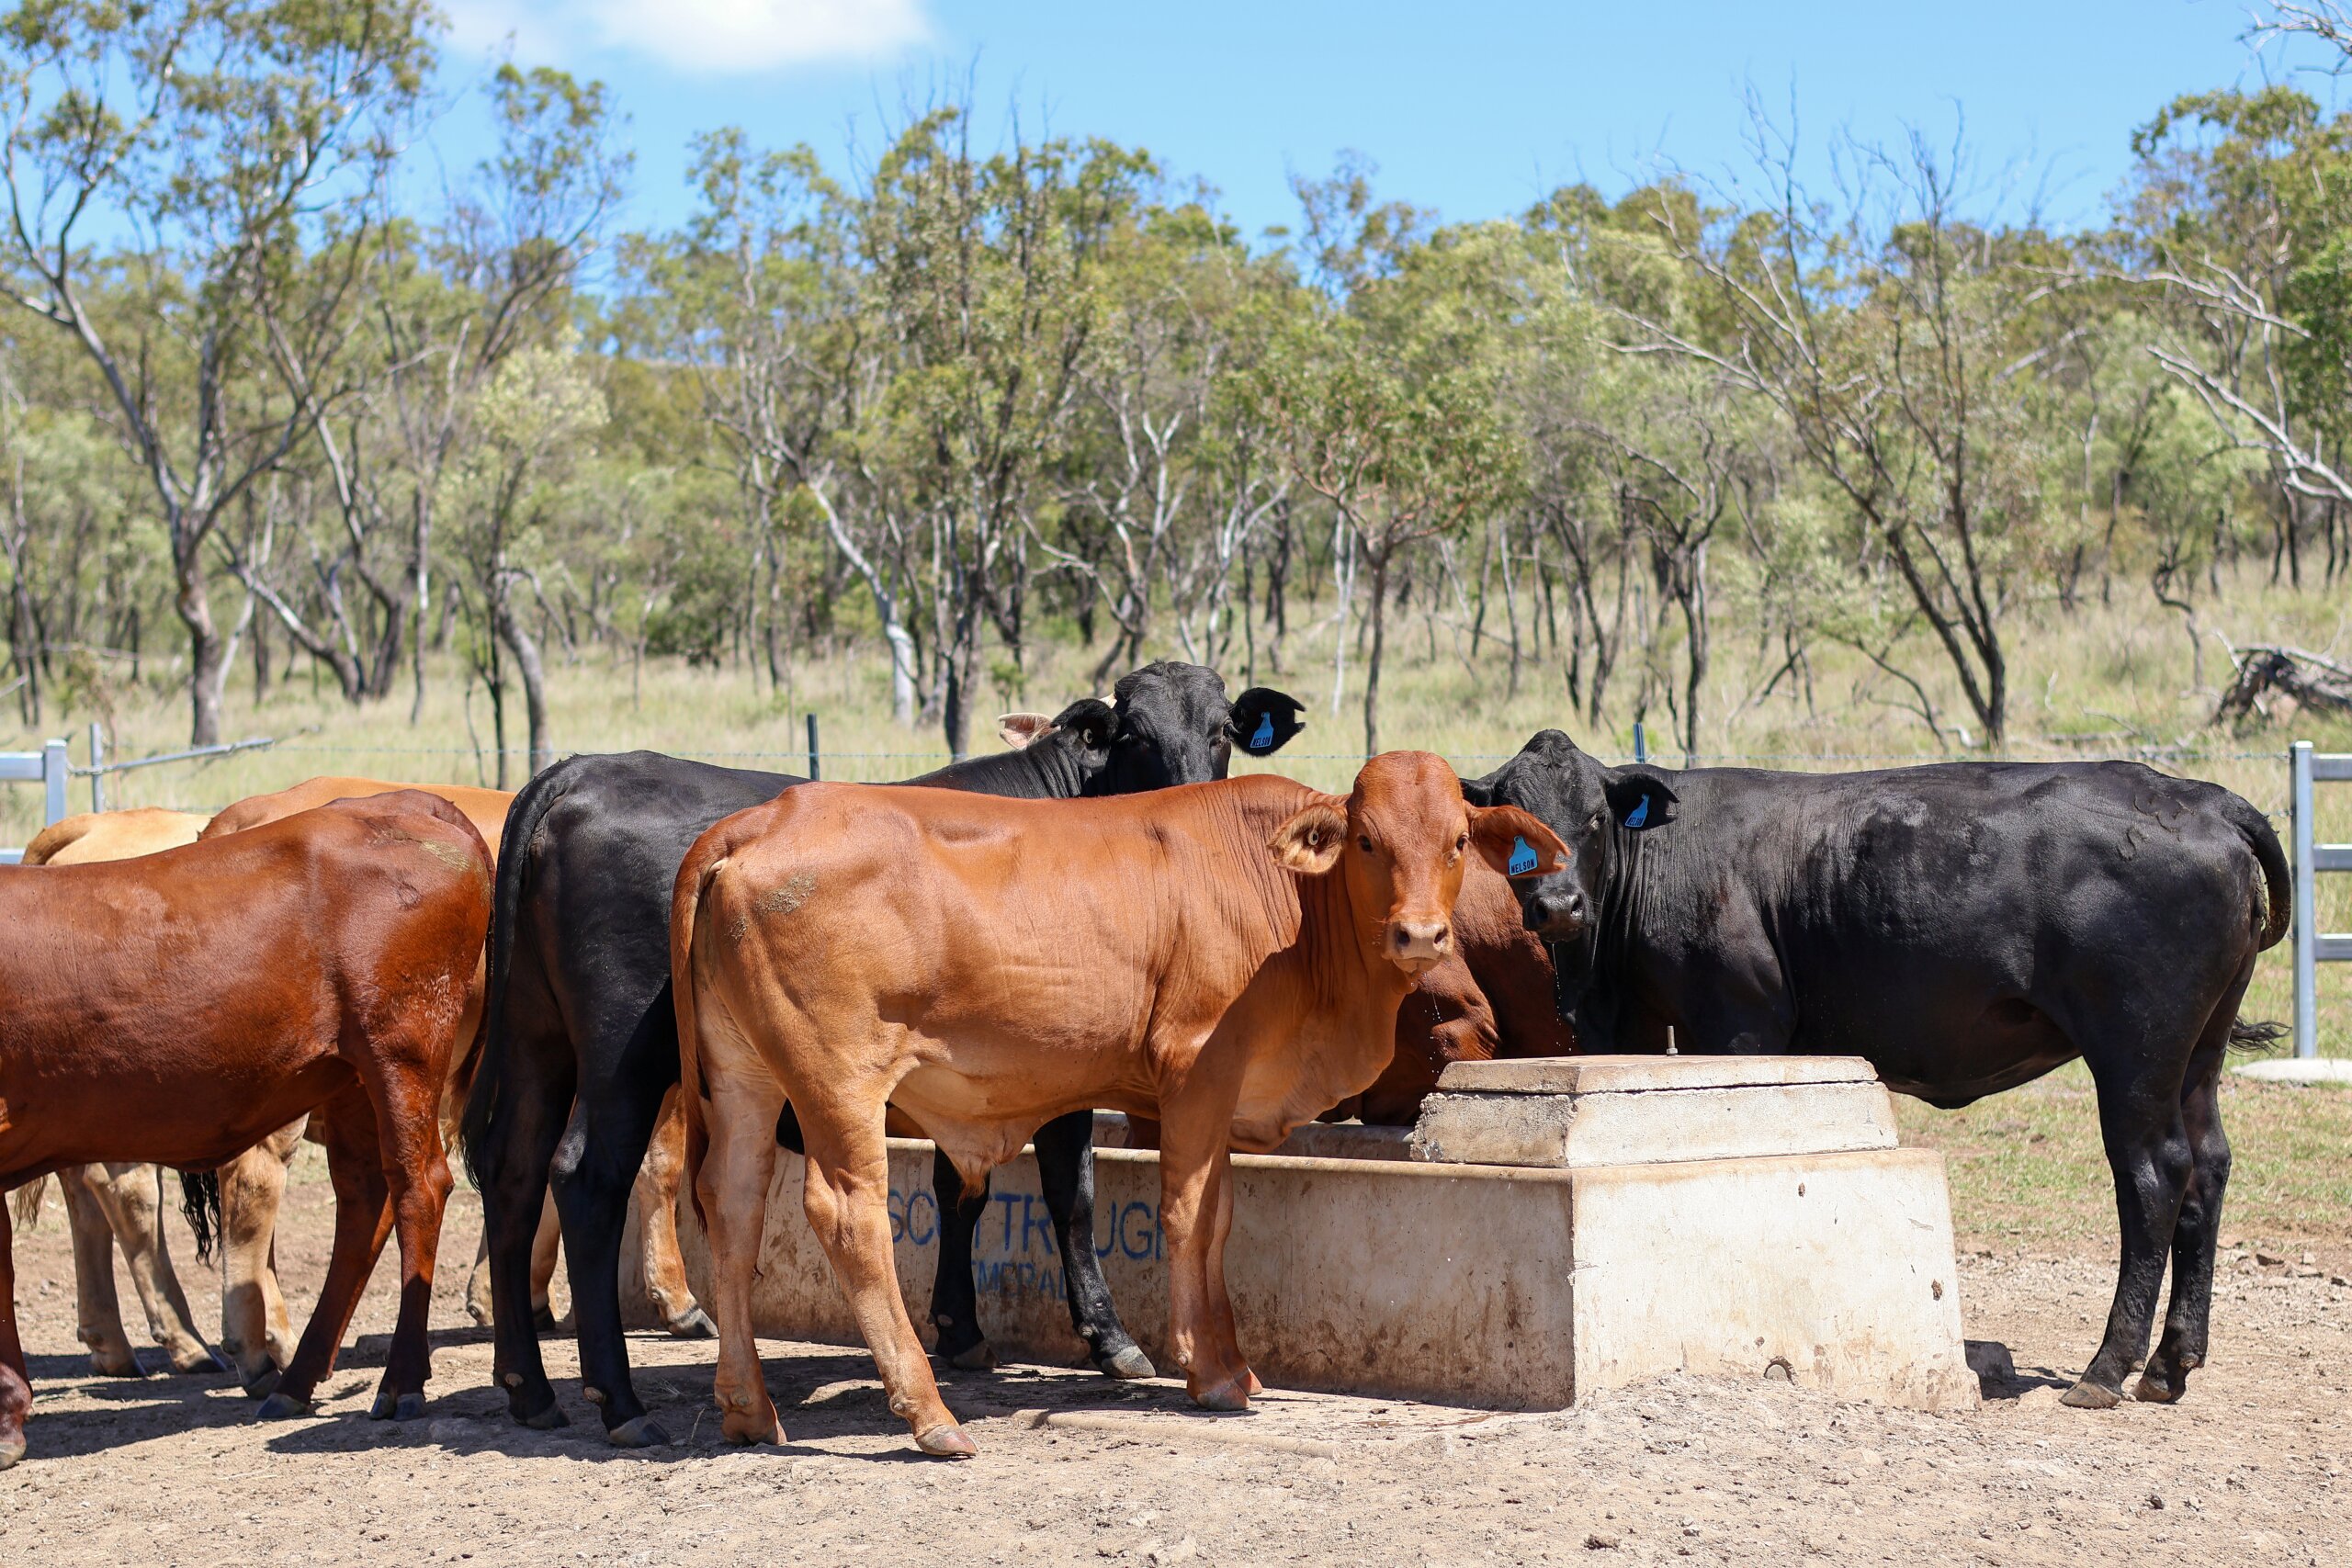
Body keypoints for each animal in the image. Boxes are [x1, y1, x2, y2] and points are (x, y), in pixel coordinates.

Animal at [0, 792, 493, 1468]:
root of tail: (406, 801)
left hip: (402, 1051)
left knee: (419, 1188)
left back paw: (397, 1379)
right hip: (350, 1079)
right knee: (365, 1201)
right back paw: (293, 1377)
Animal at [460, 661, 1306, 1446]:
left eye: (1220, 733)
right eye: (1134, 735)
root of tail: (575, 772)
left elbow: (960, 1187)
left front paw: (961, 1327)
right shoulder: (1060, 1068)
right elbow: (1070, 1192)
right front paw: (1112, 1338)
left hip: (539, 1043)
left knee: (512, 1170)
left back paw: (530, 1385)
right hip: (623, 1063)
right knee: (588, 1180)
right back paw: (622, 1399)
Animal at [669, 750, 1567, 1454]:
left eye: (1457, 841)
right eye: (1369, 839)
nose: (1420, 934)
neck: (1295, 912)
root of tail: (758, 819)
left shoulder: (1220, 1095)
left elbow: (1220, 1214)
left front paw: (1236, 1361)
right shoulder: (1195, 1068)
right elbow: (1188, 1214)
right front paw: (1209, 1372)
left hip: (745, 1076)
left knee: (733, 1203)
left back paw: (749, 1409)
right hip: (838, 1080)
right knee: (848, 1214)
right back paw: (928, 1413)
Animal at [1464, 729, 2291, 1411]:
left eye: (1592, 820)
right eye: (1513, 830)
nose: (1559, 904)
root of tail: (2203, 797)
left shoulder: (1740, 1024)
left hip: (2135, 1050)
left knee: (2156, 1173)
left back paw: (2107, 1367)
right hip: (2198, 1053)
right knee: (2208, 1168)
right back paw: (2171, 1363)